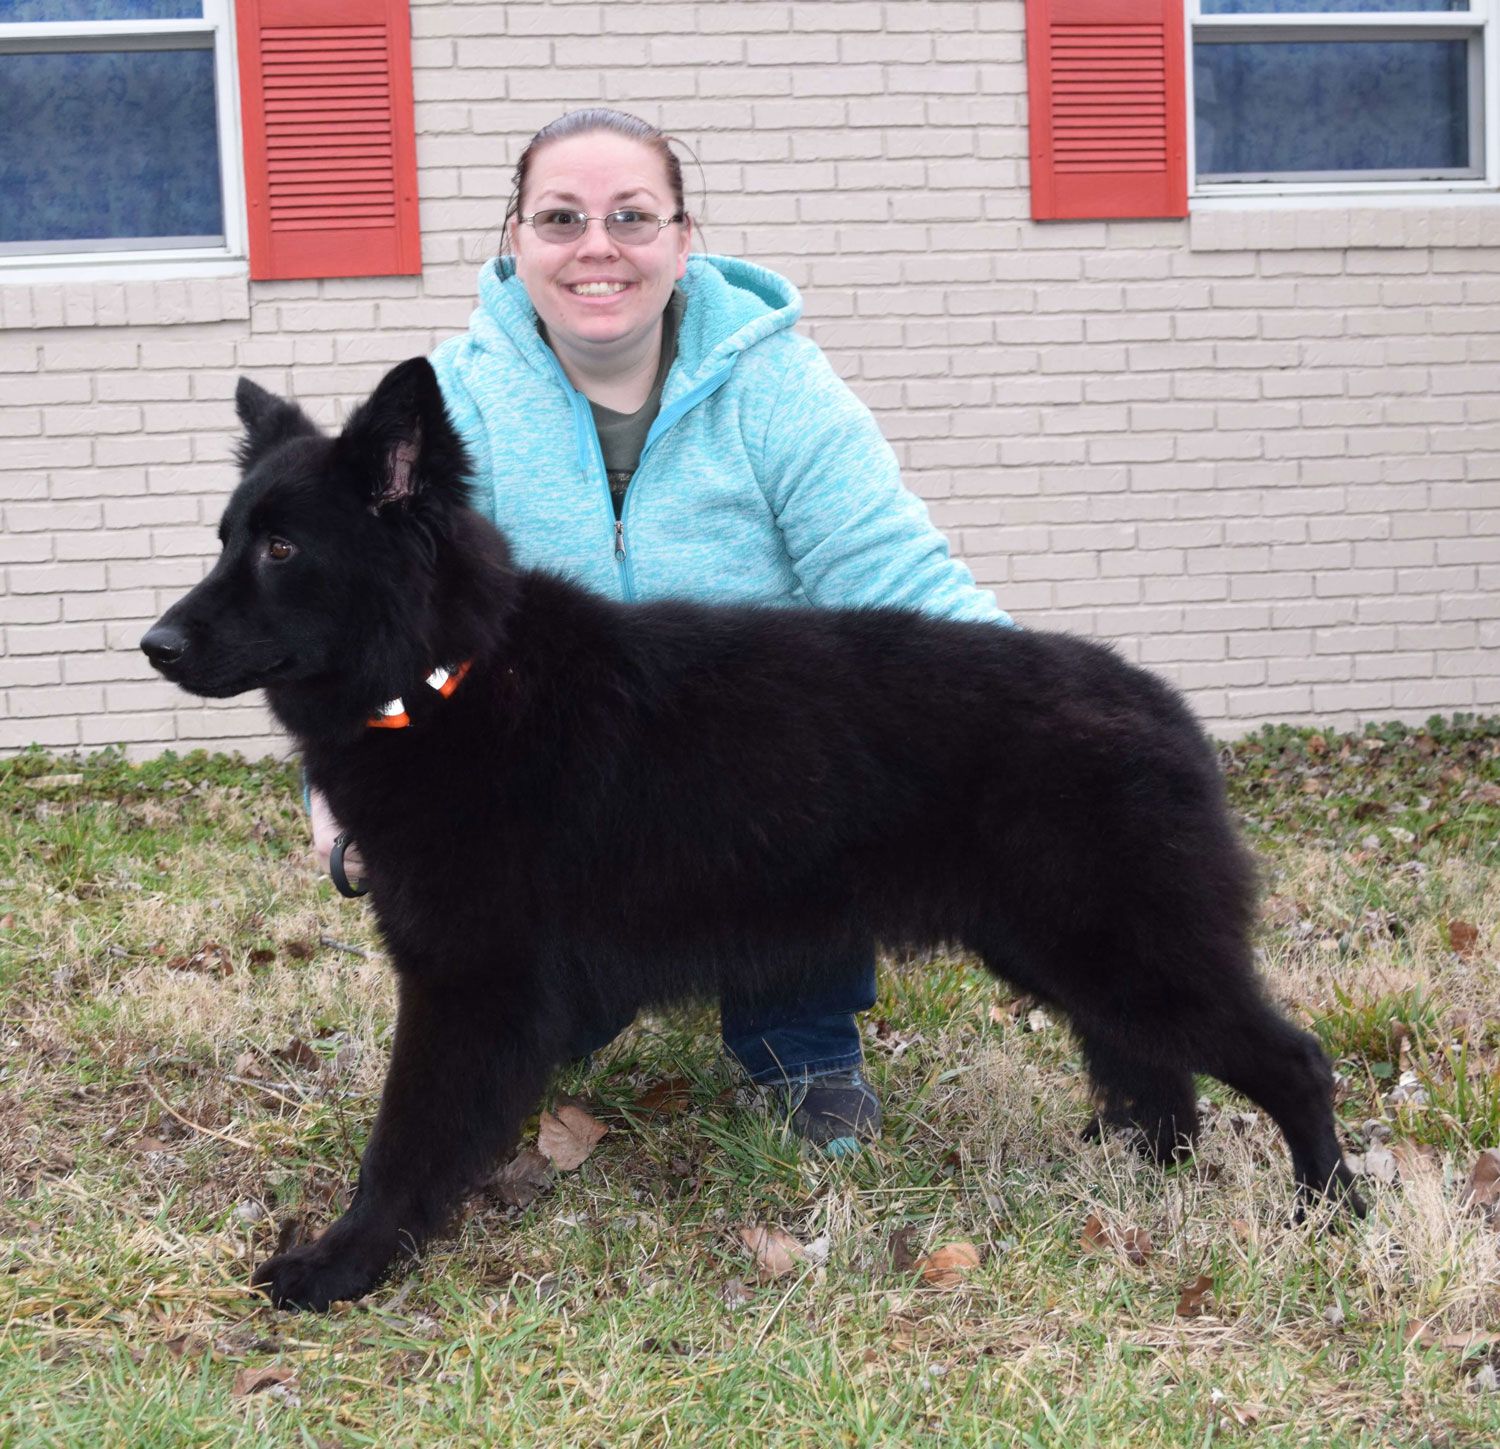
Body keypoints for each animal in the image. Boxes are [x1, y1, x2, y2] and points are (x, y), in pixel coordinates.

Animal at [141, 363, 1362, 1314]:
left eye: (282, 548)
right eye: (226, 540)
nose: (154, 643)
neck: (449, 676)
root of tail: (1163, 707)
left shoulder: (466, 988)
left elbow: (402, 1140)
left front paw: (342, 1263)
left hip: (1121, 956)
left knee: (1294, 1063)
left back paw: (1330, 1212)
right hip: (1076, 960)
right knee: (1162, 1078)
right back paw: (1142, 1176)